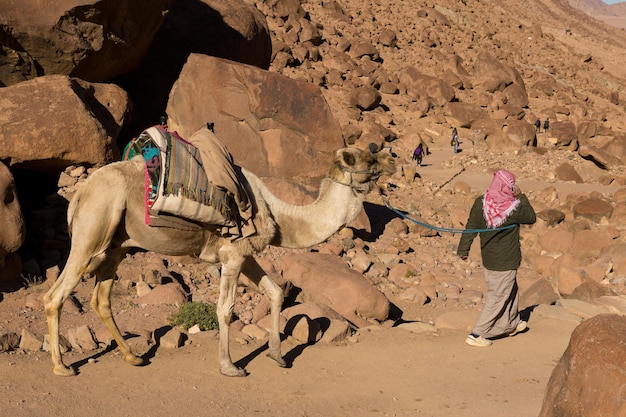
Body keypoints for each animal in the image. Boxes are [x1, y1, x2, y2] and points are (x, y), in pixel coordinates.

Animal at [42, 145, 394, 376]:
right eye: (367, 158)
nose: (391, 159)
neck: (279, 214)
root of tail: (79, 194)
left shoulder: (246, 254)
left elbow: (275, 292)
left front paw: (278, 356)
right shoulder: (232, 254)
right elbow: (225, 309)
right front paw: (230, 366)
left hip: (115, 246)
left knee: (101, 298)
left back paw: (134, 357)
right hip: (93, 230)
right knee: (55, 295)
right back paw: (62, 367)